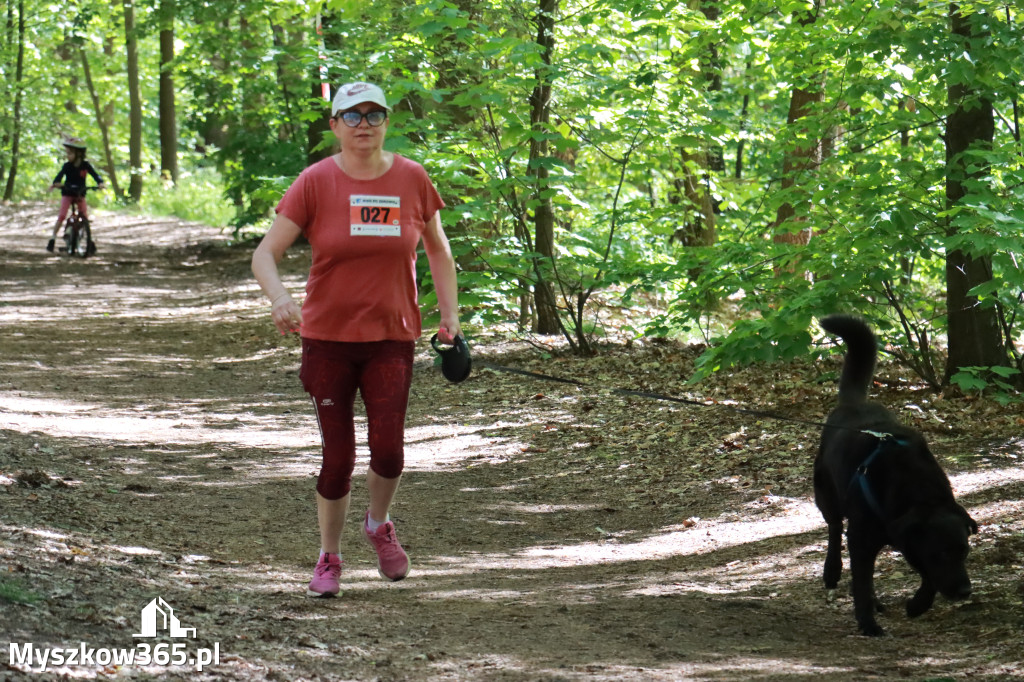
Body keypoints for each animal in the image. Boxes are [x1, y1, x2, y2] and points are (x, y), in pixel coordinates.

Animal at [815, 313, 974, 630]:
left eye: (964, 551)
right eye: (942, 554)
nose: (965, 591)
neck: (919, 493)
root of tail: (853, 403)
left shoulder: (910, 541)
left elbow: (926, 576)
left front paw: (917, 604)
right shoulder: (862, 539)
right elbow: (862, 582)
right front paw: (868, 624)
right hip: (826, 494)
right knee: (834, 527)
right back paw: (832, 571)